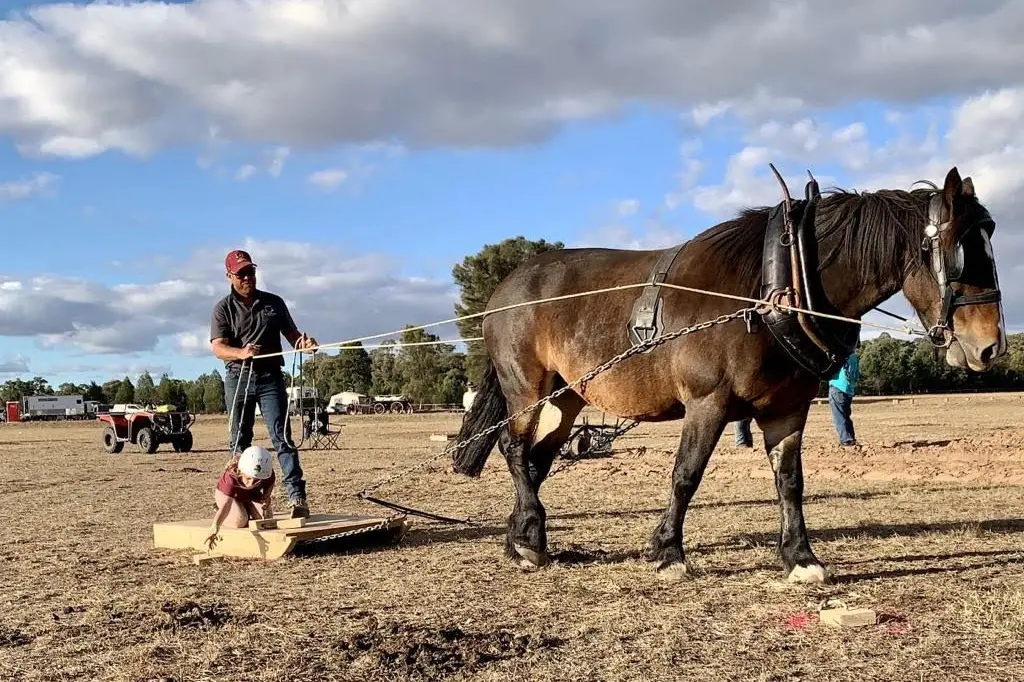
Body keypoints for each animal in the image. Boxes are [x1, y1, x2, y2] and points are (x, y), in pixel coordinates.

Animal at [451, 166, 1006, 583]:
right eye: (960, 250)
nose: (991, 346)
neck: (776, 286)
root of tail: (506, 287)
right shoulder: (707, 402)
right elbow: (686, 474)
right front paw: (668, 552)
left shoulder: (788, 409)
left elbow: (790, 482)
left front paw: (800, 558)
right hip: (527, 387)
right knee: (516, 450)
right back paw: (528, 537)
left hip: (568, 395)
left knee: (538, 460)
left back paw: (523, 537)